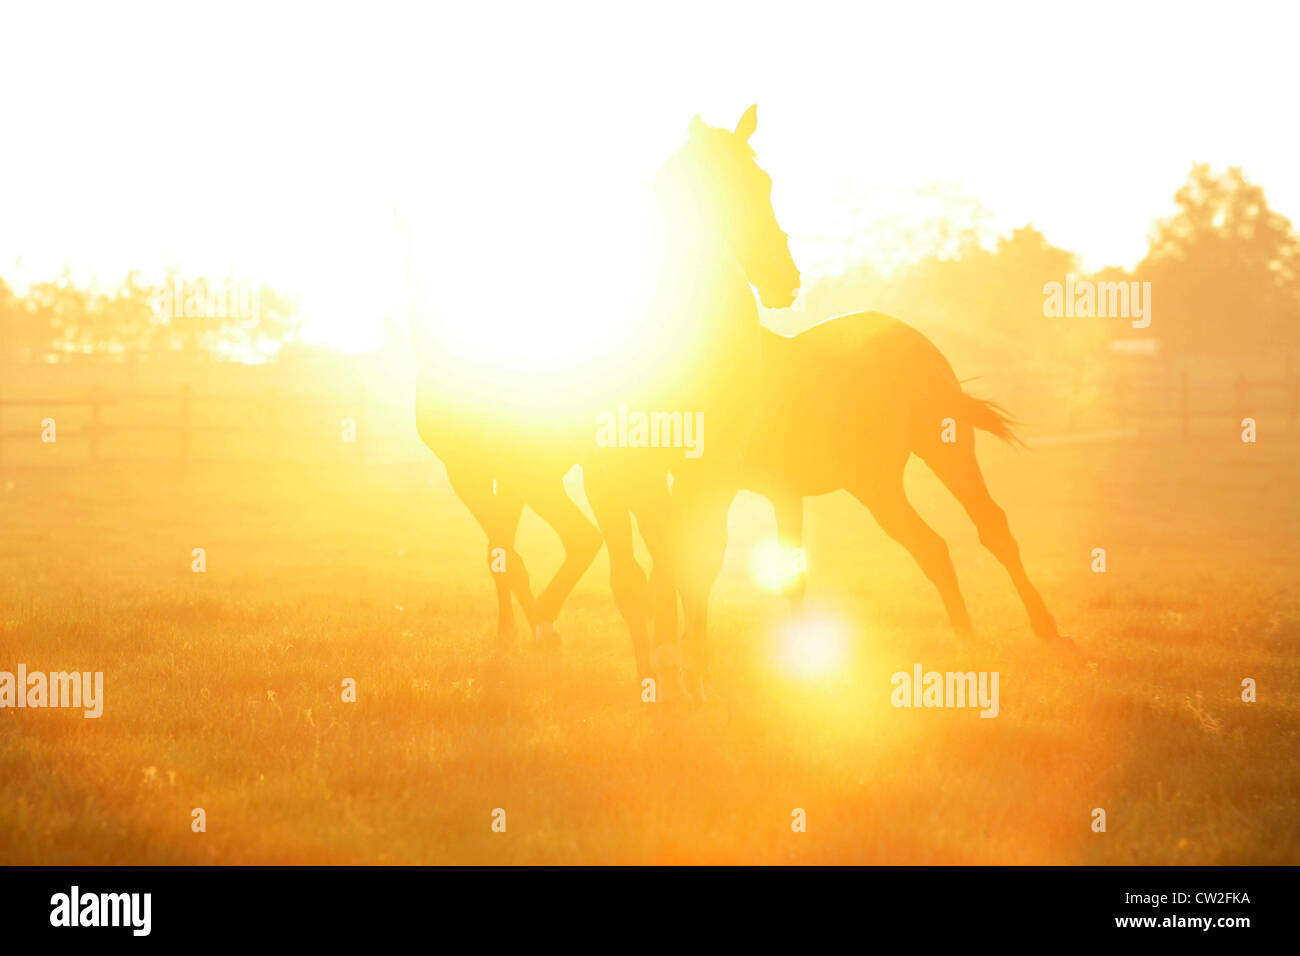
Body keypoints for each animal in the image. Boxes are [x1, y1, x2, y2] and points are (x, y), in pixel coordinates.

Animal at [748, 314, 1071, 650]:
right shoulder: (783, 494)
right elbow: (790, 573)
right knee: (978, 530)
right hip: (932, 459)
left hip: (886, 480)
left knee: (943, 541)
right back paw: (1016, 631)